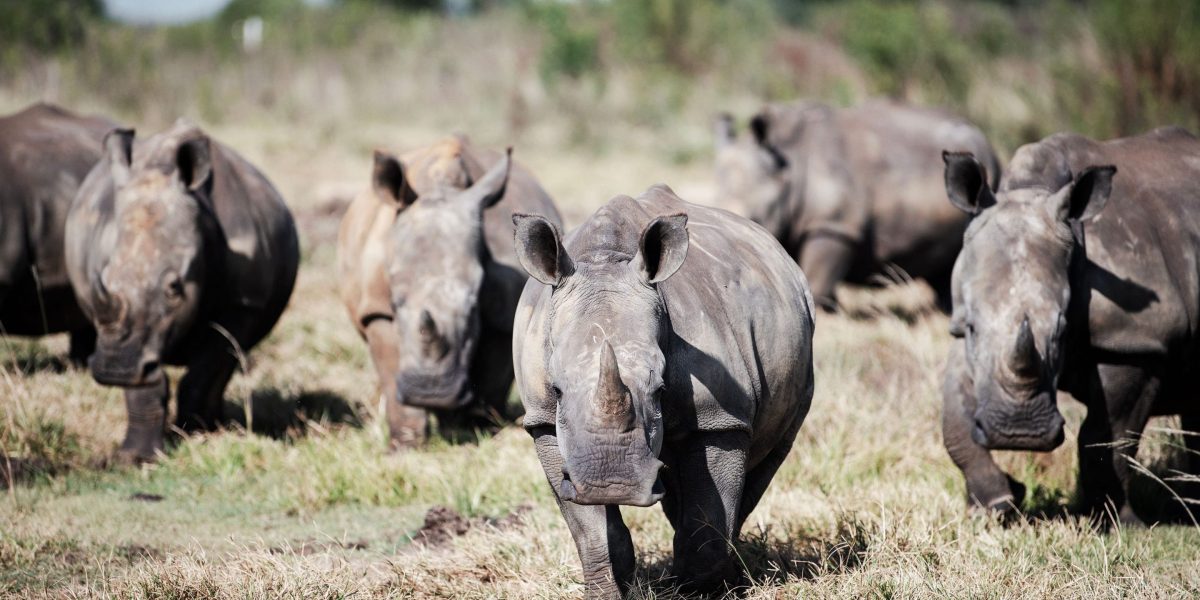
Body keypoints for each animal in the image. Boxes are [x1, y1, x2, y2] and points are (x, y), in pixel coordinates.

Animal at [65, 122, 299, 462]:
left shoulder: (243, 304)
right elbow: (145, 382)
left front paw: (197, 437)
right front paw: (134, 458)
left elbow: (205, 370)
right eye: (105, 278)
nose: (114, 369)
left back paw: (214, 425)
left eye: (174, 288)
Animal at [337, 136, 562, 446]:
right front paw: (405, 445)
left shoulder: (504, 312)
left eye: (473, 305)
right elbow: (391, 370)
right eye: (395, 302)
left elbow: (492, 376)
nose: (431, 391)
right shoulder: (376, 308)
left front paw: (473, 429)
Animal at [512, 185, 815, 597]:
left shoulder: (719, 418)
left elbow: (708, 518)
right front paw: (608, 591)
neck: (605, 258)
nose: (613, 485)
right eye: (557, 389)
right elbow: (593, 531)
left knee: (768, 457)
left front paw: (699, 593)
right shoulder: (543, 420)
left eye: (659, 388)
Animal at [941, 127, 1200, 524]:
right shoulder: (961, 327)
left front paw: (1117, 523)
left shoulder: (1135, 341)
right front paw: (996, 504)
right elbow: (954, 419)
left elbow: (1107, 437)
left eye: (1063, 330)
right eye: (971, 327)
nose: (1019, 433)